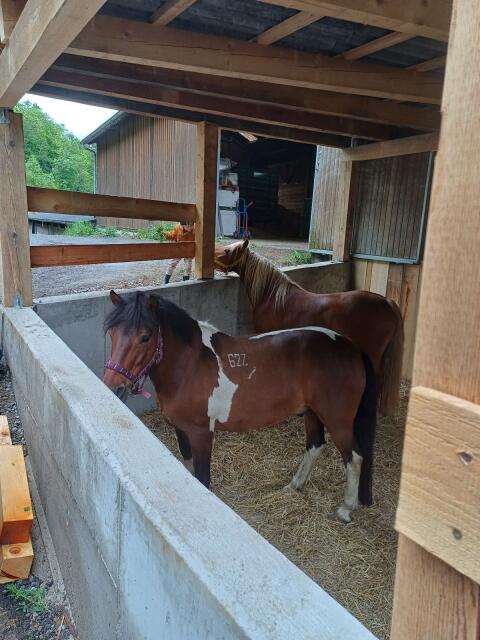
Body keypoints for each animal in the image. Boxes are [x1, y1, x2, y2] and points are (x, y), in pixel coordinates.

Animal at [103, 290, 377, 523]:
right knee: (315, 445)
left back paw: (345, 509)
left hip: (338, 420)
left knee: (354, 457)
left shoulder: (202, 434)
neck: (190, 365)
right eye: (112, 333)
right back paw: (294, 485)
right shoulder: (181, 430)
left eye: (145, 337)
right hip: (311, 413)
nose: (113, 387)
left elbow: (202, 478)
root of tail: (351, 347)